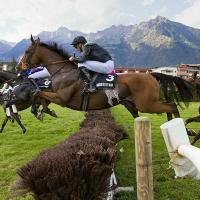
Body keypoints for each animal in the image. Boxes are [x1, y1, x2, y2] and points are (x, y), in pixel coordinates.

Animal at [17, 35, 194, 120]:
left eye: (26, 51)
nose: (19, 68)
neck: (63, 71)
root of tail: (150, 75)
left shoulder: (62, 98)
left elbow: (38, 93)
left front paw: (40, 110)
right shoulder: (53, 93)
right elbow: (39, 94)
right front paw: (41, 110)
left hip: (146, 104)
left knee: (172, 106)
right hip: (137, 103)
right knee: (169, 106)